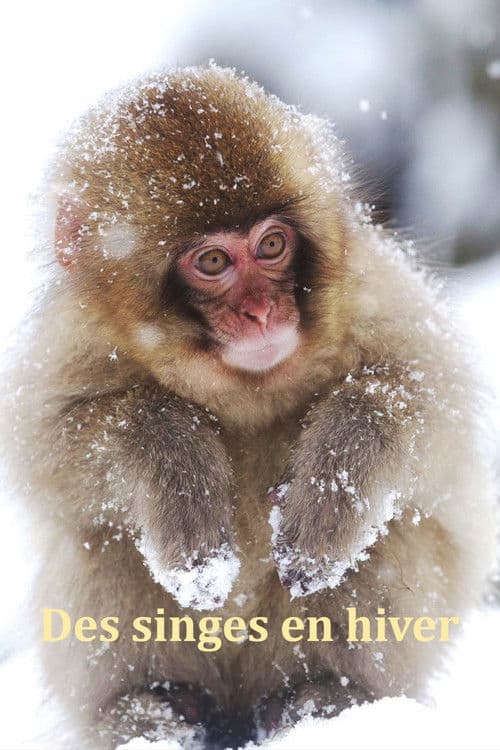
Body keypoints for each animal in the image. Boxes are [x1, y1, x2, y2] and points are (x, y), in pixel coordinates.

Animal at [1, 65, 496, 749]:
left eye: (271, 245)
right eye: (212, 261)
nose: (263, 312)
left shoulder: (374, 290)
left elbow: (434, 405)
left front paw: (326, 500)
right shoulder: (74, 335)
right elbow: (43, 447)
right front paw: (179, 473)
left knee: (392, 533)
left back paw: (323, 697)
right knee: (104, 535)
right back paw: (153, 709)